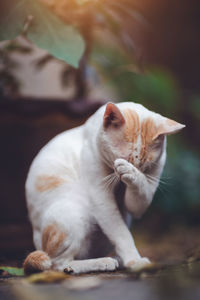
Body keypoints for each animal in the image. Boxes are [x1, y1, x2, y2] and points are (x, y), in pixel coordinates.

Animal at [23, 101, 184, 274]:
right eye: (121, 157)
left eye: (144, 165)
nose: (129, 169)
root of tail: (38, 244)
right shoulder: (100, 197)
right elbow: (121, 234)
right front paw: (135, 261)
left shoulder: (137, 205)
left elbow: (140, 190)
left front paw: (132, 173)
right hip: (74, 211)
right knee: (58, 264)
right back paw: (103, 262)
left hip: (122, 218)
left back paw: (116, 260)